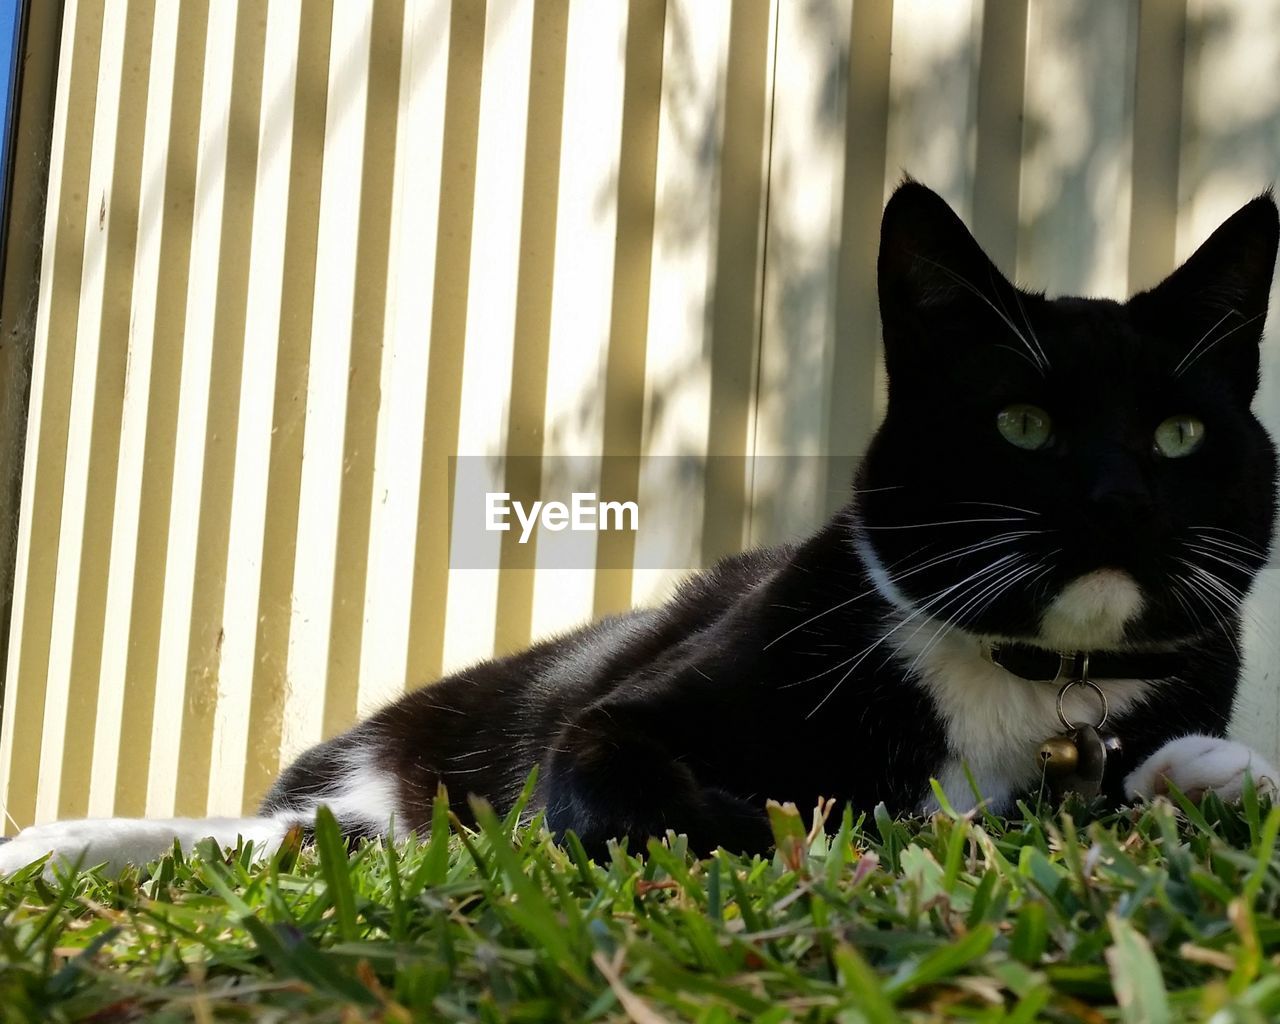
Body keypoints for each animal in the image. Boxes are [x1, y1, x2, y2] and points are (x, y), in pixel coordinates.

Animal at [2, 181, 1280, 870]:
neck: (1025, 679)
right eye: (1020, 422)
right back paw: (60, 843)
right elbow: (632, 783)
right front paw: (832, 831)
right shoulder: (624, 717)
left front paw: (1208, 777)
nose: (1117, 499)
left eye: (1177, 435)